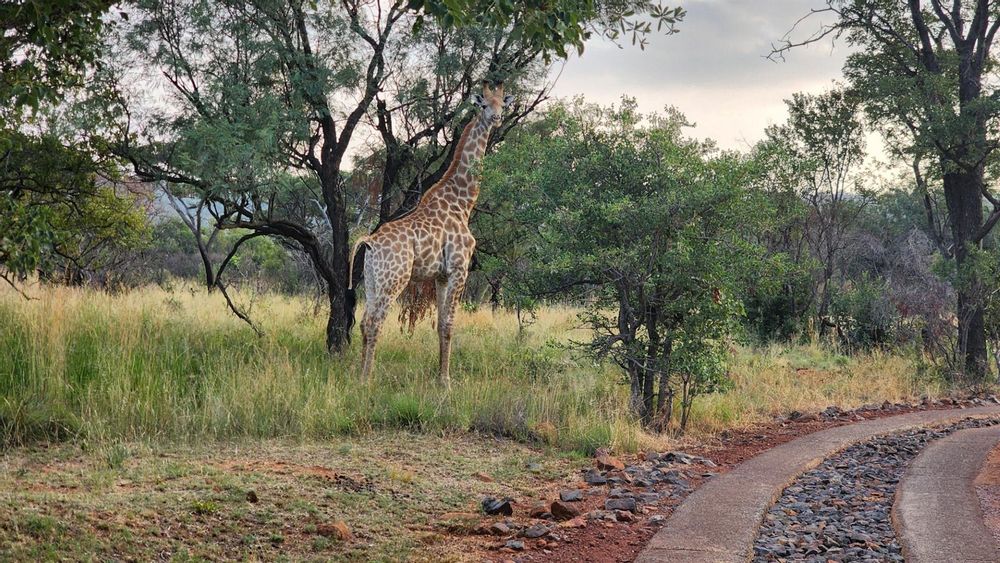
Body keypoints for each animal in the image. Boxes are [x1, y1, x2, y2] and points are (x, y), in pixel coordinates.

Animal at [349, 82, 513, 384]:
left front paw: (439, 375)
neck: (462, 203)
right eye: (484, 104)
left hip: (373, 279)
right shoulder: (460, 267)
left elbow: (439, 325)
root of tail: (370, 242)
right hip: (394, 279)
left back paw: (359, 375)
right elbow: (449, 323)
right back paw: (367, 379)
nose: (495, 118)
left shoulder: (441, 275)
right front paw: (446, 381)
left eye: (502, 105)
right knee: (375, 322)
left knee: (364, 322)